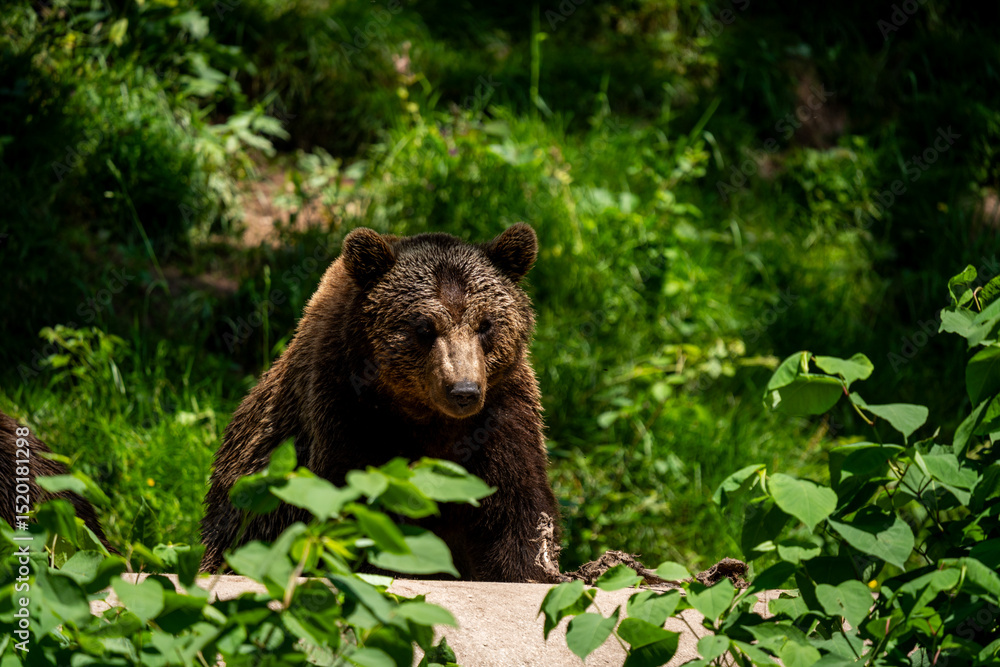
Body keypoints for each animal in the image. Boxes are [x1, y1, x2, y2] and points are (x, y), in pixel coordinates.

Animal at [200, 223, 561, 581]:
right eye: (424, 327)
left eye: (485, 324)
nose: (463, 391)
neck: (423, 415)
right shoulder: (347, 411)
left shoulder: (500, 415)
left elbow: (516, 509)